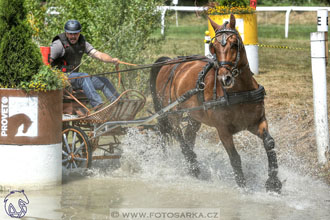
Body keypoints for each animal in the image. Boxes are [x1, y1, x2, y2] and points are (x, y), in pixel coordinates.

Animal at [150, 14, 282, 192]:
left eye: (234, 44)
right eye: (213, 46)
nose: (224, 78)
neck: (238, 92)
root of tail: (169, 63)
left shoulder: (256, 122)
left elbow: (269, 143)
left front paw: (273, 183)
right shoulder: (223, 130)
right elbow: (234, 157)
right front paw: (243, 185)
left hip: (194, 117)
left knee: (189, 137)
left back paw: (192, 167)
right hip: (173, 114)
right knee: (179, 137)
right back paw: (193, 164)